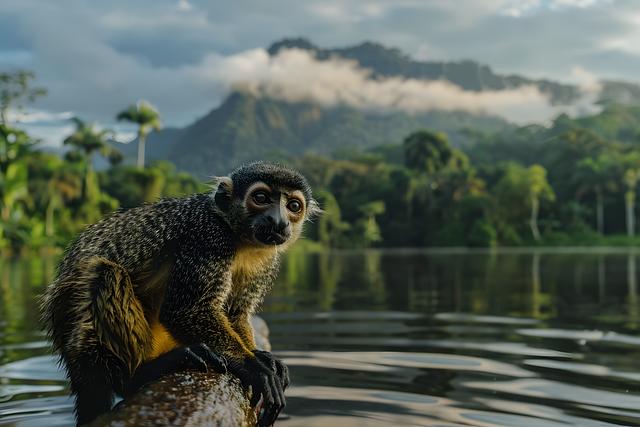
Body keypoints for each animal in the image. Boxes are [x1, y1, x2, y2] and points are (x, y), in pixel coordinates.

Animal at [40, 161, 320, 427]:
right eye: (261, 198)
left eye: (293, 205)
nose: (279, 221)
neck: (238, 236)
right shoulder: (208, 236)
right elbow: (186, 311)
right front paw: (253, 366)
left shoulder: (267, 261)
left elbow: (236, 313)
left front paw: (258, 355)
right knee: (105, 273)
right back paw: (132, 377)